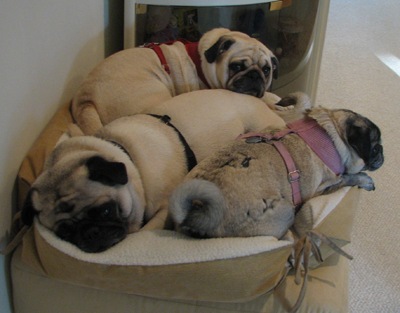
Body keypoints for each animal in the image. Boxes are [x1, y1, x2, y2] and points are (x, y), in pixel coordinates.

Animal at [168, 103, 382, 238]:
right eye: (374, 148)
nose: (382, 153)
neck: (332, 132)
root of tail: (196, 213)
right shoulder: (324, 187)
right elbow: (349, 177)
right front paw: (364, 180)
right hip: (286, 212)